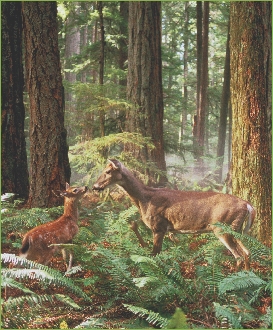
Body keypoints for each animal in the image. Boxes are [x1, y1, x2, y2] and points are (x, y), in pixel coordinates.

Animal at [93, 160, 255, 270]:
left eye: (108, 172)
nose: (95, 186)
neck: (144, 199)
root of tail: (248, 205)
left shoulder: (158, 227)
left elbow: (154, 254)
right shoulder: (169, 230)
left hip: (223, 227)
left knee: (239, 256)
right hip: (236, 228)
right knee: (247, 252)